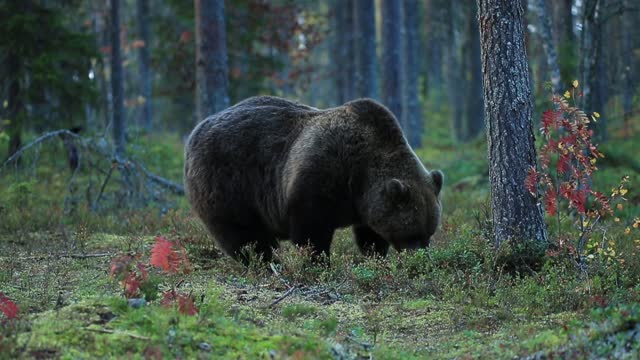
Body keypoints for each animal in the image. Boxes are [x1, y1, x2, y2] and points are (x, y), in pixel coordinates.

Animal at [185, 97, 442, 262]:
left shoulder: (365, 201)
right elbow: (311, 229)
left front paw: (375, 255)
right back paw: (265, 261)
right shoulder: (320, 176)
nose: (422, 257)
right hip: (228, 182)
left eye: (430, 232)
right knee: (243, 233)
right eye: (412, 232)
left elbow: (370, 232)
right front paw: (318, 261)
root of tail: (196, 129)